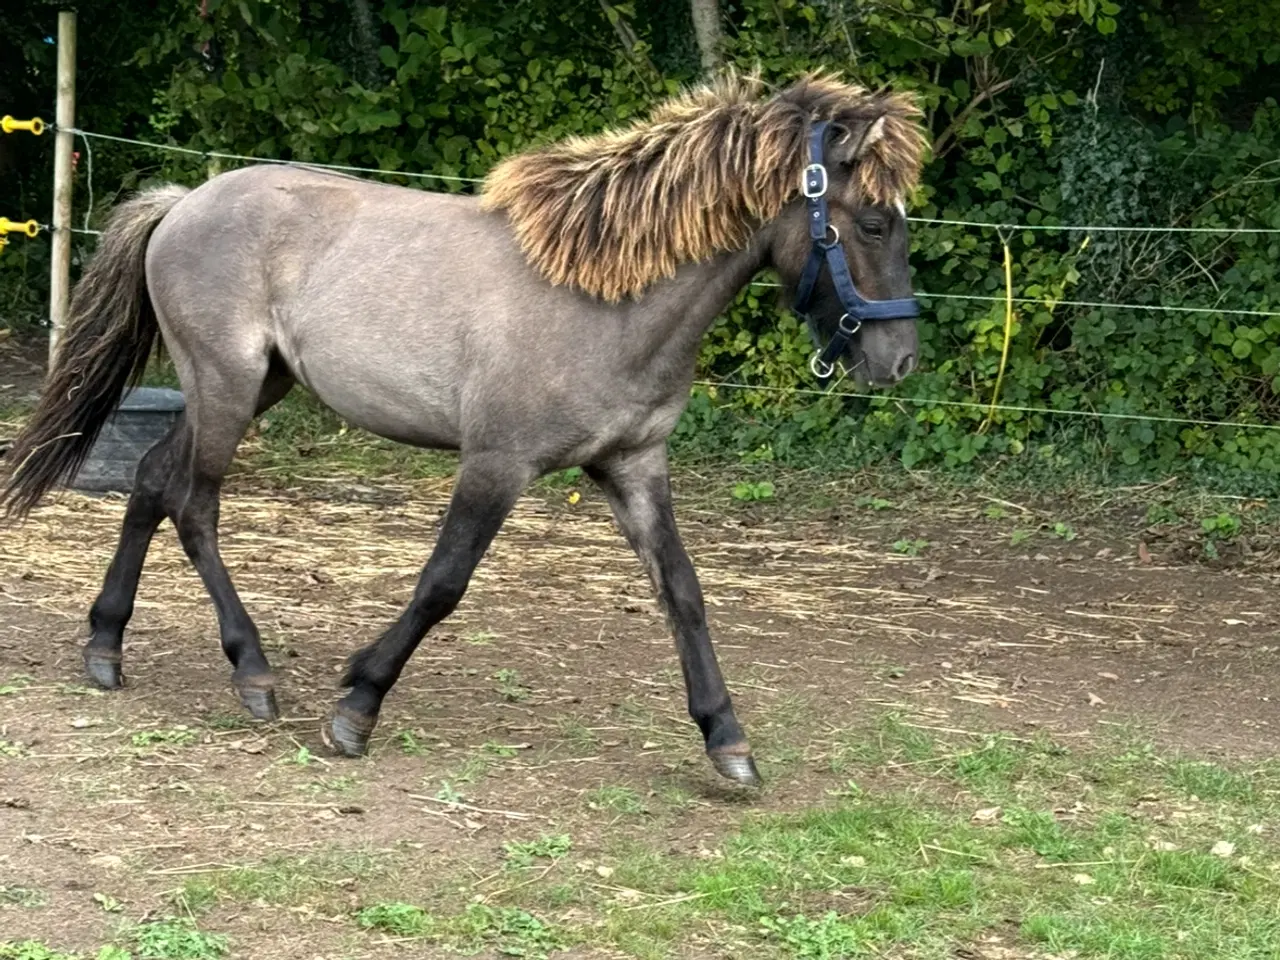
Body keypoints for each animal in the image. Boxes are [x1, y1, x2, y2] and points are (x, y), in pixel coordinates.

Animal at [0, 71, 921, 783]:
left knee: (153, 479)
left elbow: (684, 593)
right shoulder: (495, 464)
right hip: (224, 386)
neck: (605, 300)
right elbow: (442, 584)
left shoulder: (633, 466)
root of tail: (187, 199)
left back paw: (106, 647)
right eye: (874, 222)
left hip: (253, 385)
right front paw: (357, 705)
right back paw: (253, 673)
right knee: (194, 505)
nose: (899, 360)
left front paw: (727, 741)